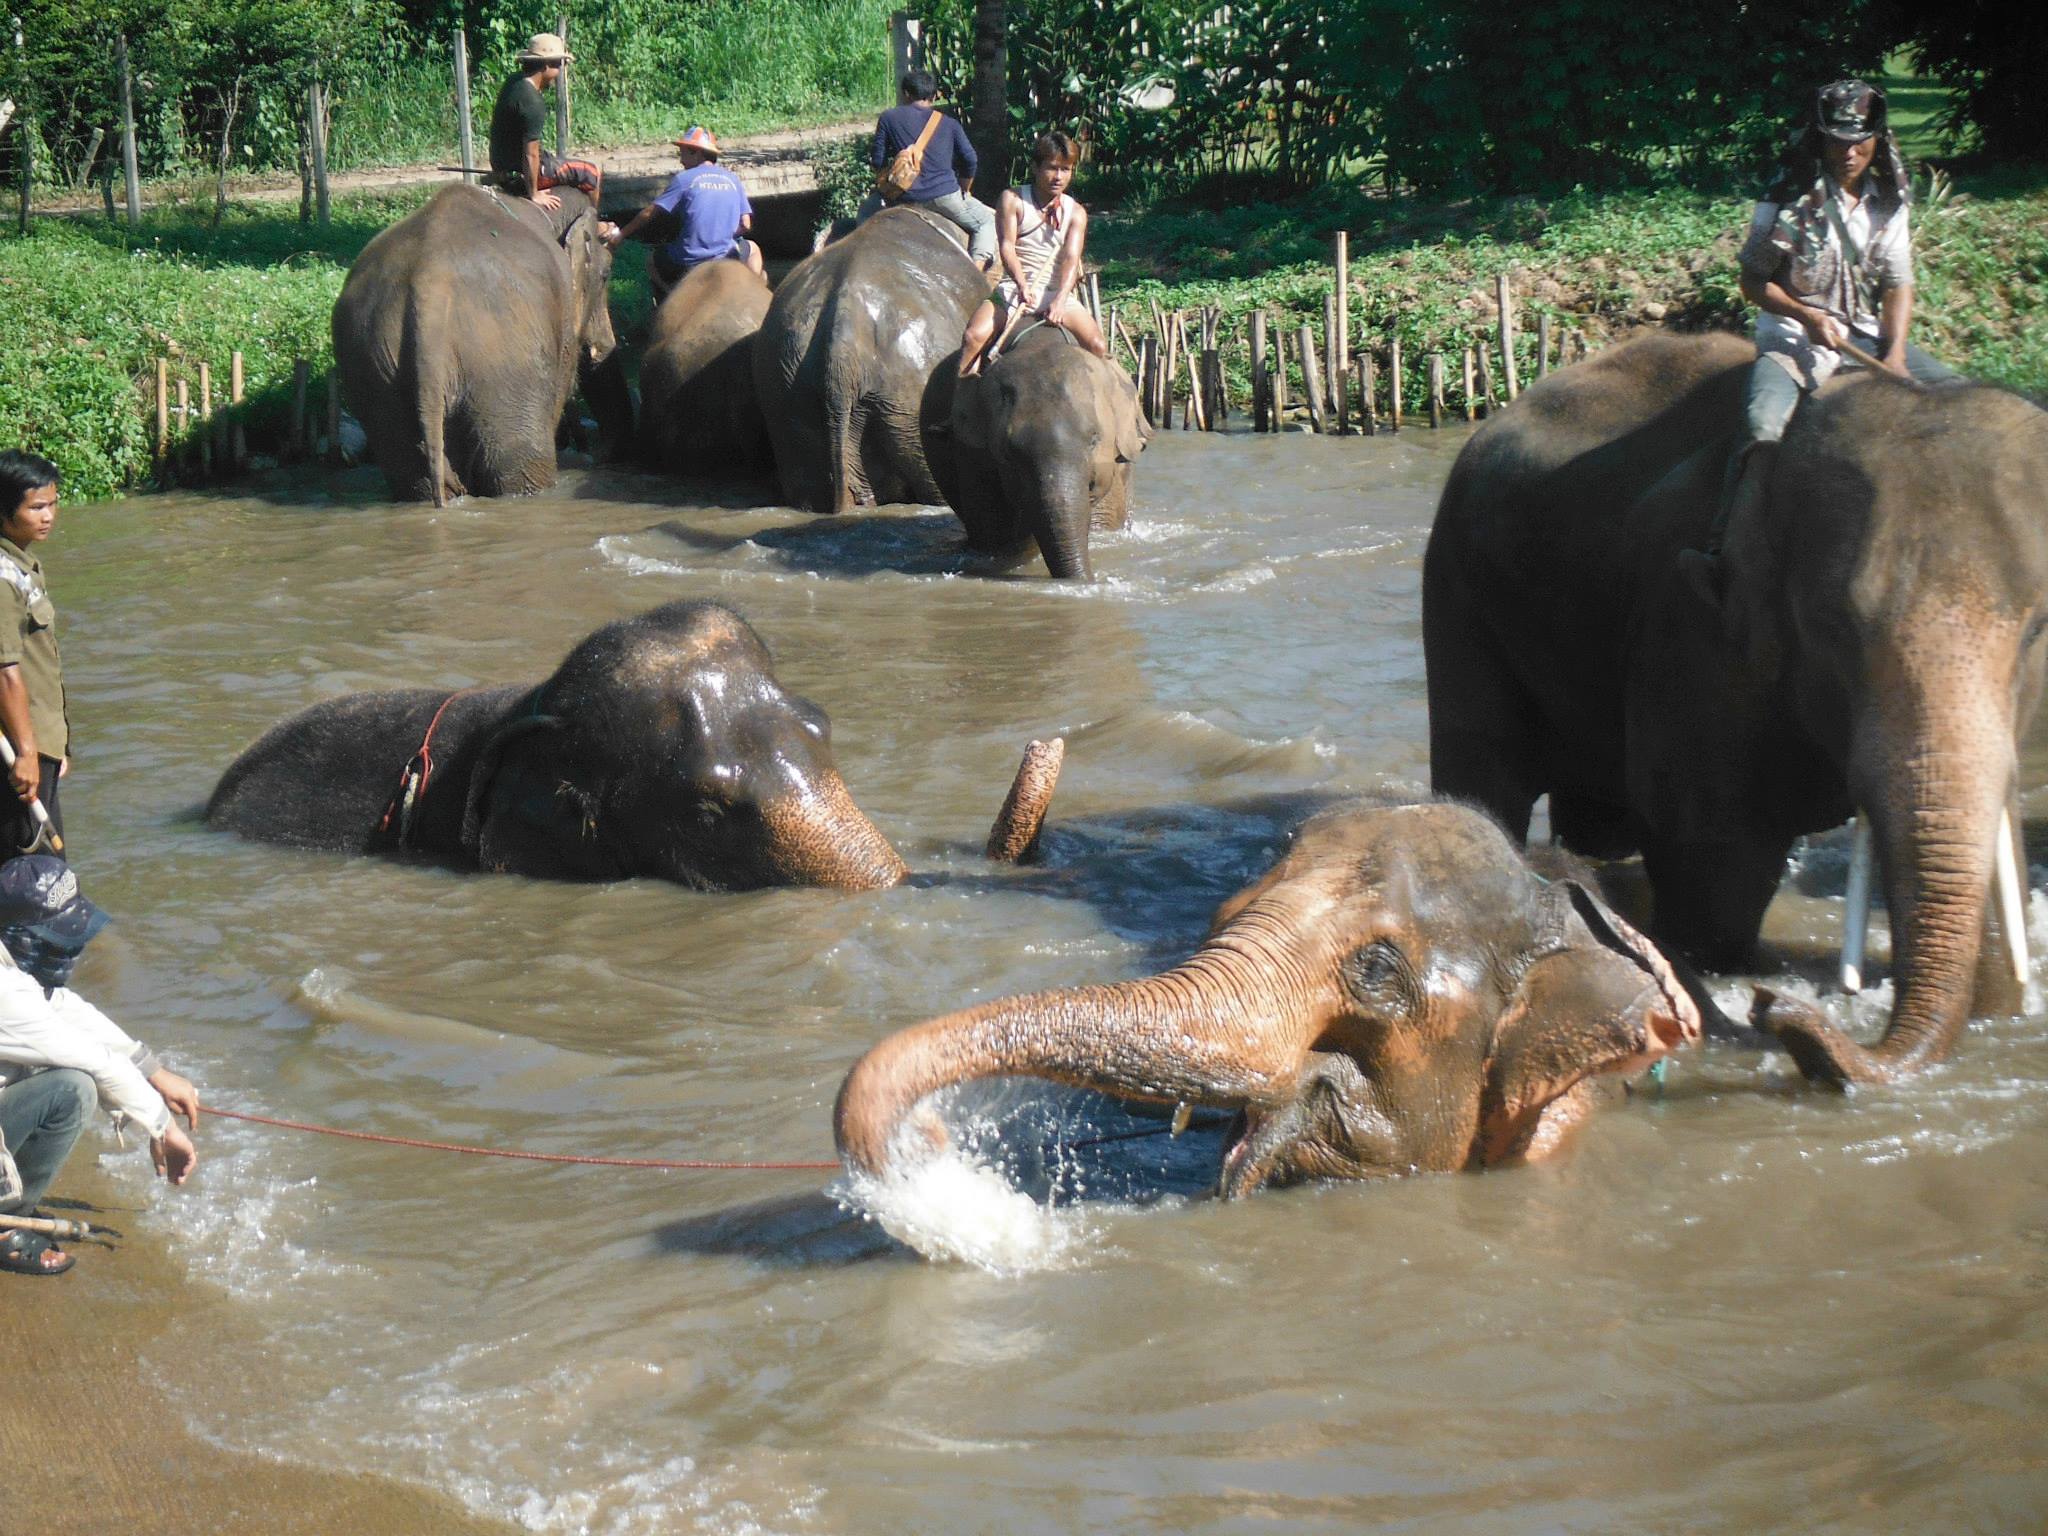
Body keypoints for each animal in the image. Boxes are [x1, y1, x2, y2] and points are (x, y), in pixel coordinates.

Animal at [332, 184, 628, 505]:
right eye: (606, 275)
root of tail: (429, 287)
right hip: (506, 368)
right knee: (519, 472)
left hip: (377, 373)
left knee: (413, 475)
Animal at [1422, 330, 2048, 1087]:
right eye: (1835, 628)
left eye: (2037, 629)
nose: (1772, 1008)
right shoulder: (1693, 626)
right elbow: (1715, 857)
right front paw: (1734, 974)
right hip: (1457, 593)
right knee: (1485, 778)